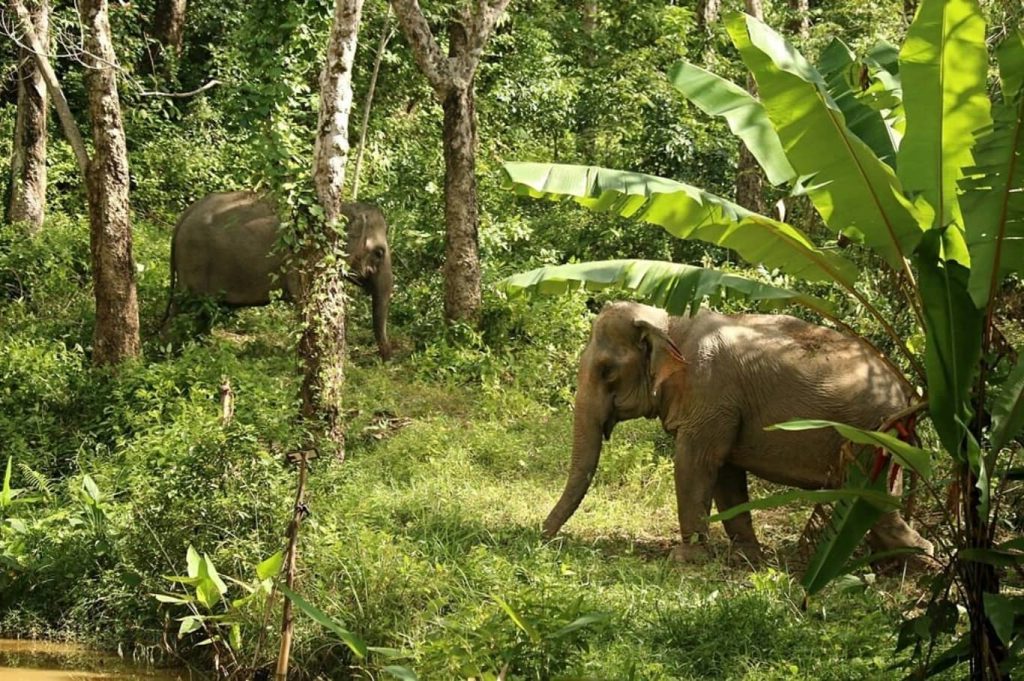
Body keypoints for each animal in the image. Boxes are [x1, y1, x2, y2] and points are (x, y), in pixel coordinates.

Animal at [163, 191, 392, 360]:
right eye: (379, 253)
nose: (386, 358)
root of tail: (183, 217)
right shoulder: (302, 259)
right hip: (194, 259)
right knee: (185, 308)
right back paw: (174, 353)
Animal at [544, 301, 933, 564]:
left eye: (607, 371)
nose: (542, 537)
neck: (669, 323)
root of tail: (908, 391)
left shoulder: (710, 393)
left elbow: (695, 463)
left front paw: (686, 559)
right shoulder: (725, 407)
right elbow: (725, 473)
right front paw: (746, 557)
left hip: (872, 434)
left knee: (873, 499)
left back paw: (917, 560)